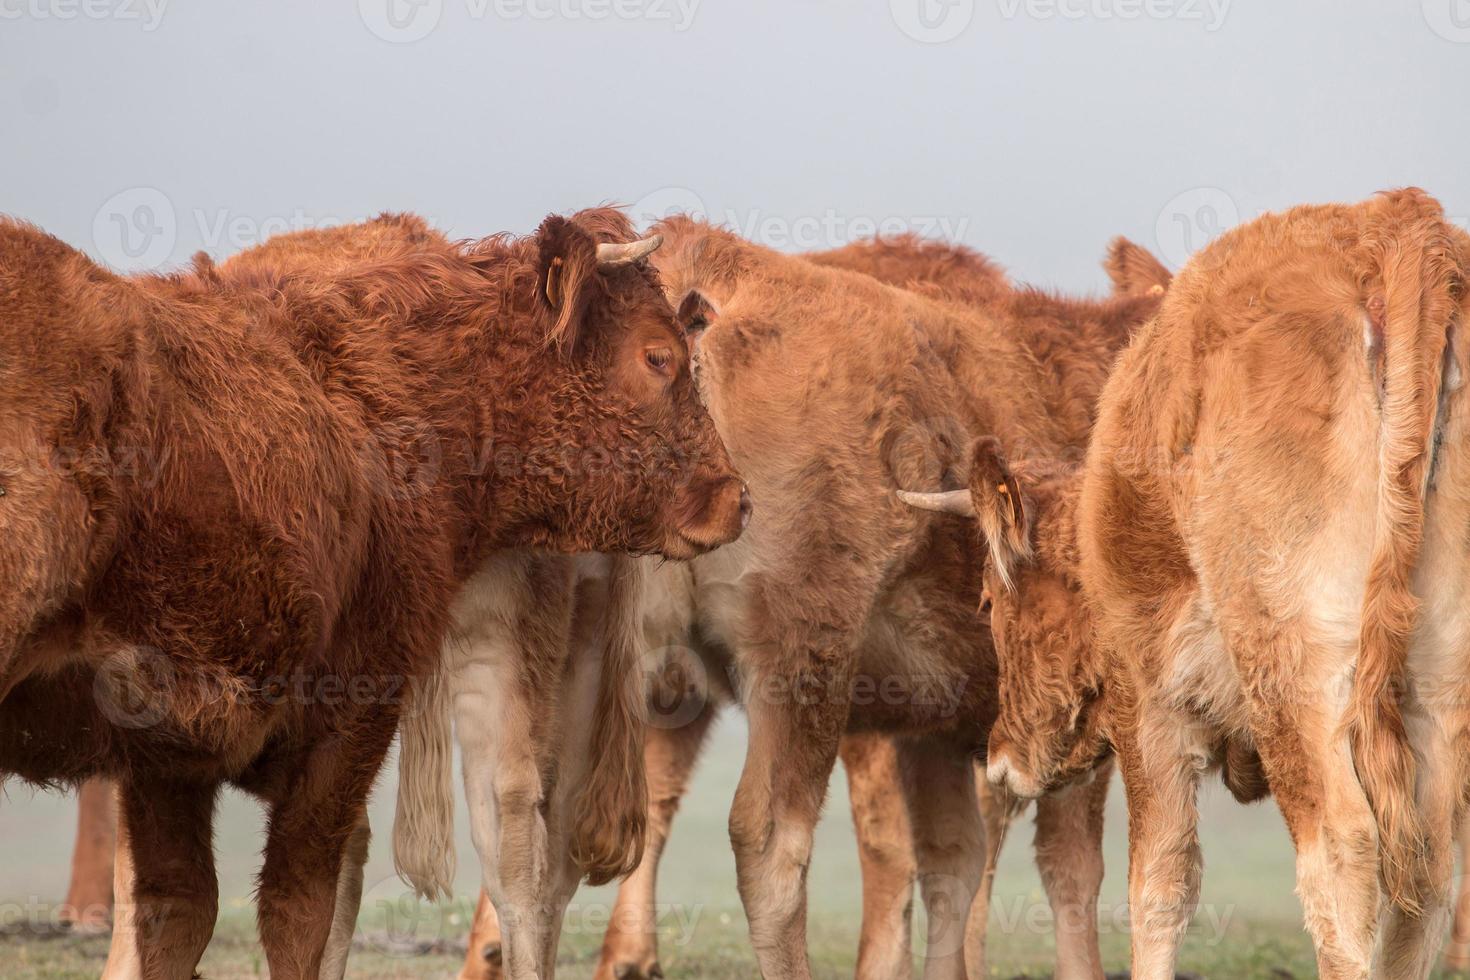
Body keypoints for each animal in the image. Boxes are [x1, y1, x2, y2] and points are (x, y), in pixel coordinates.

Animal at [0, 208, 740, 980]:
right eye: (657, 356)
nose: (734, 498)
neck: (379, 394)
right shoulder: (348, 713)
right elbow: (295, 908)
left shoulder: (169, 753)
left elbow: (175, 909)